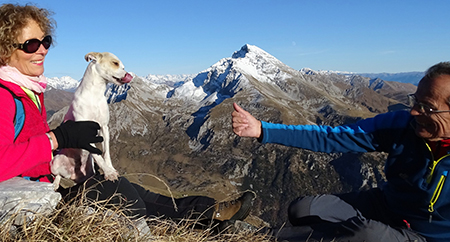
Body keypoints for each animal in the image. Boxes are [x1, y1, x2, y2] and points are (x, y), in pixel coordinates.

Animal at [50, 52, 133, 190]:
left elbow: (106, 153)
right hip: (55, 163)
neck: (94, 95)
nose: (129, 75)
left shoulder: (104, 128)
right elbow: (97, 155)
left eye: (123, 66)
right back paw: (55, 184)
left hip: (89, 171)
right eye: (115, 63)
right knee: (57, 175)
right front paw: (108, 172)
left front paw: (110, 169)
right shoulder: (84, 135)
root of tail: (72, 174)